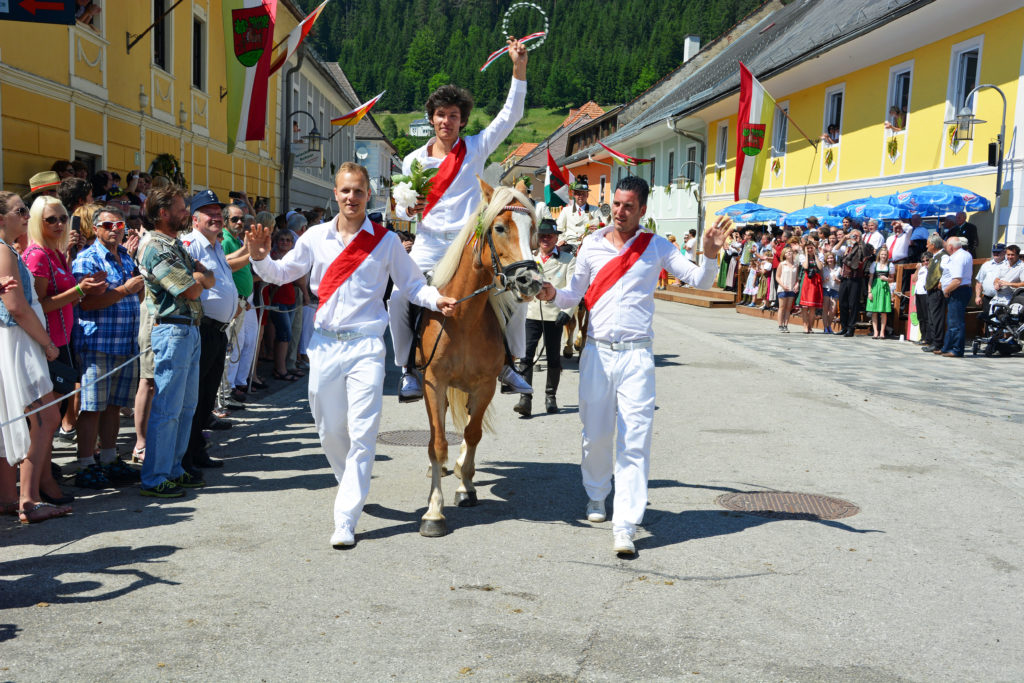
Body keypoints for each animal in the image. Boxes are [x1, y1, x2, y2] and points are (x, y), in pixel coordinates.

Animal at [415, 179, 544, 536]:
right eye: (499, 228)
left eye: (533, 231)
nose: (531, 282)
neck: (461, 317)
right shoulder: (434, 383)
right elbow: (437, 441)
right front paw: (433, 512)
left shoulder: (484, 385)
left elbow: (472, 434)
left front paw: (466, 488)